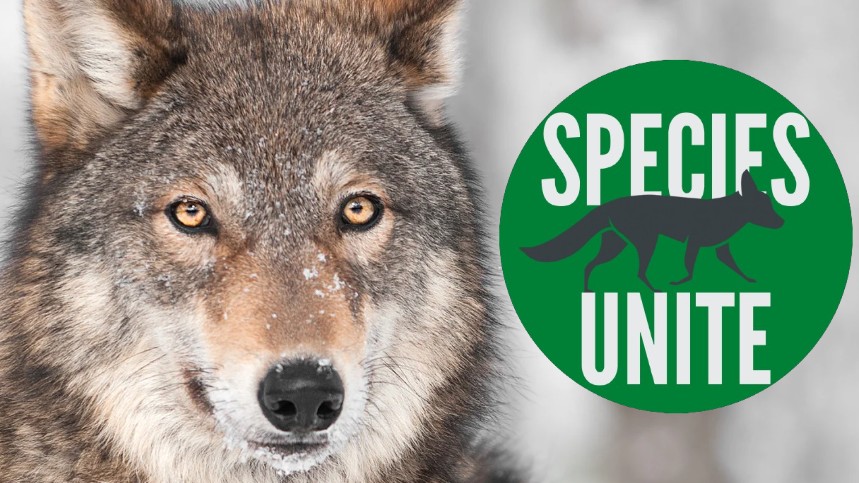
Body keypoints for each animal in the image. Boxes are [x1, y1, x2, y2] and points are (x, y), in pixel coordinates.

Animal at [522, 171, 785, 291]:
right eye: (765, 207)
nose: (782, 222)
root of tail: (610, 204)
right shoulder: (694, 242)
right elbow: (690, 269)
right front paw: (679, 282)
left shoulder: (721, 249)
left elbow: (735, 266)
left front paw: (749, 279)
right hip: (646, 241)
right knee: (637, 271)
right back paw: (653, 289)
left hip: (616, 244)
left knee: (590, 264)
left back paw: (588, 289)